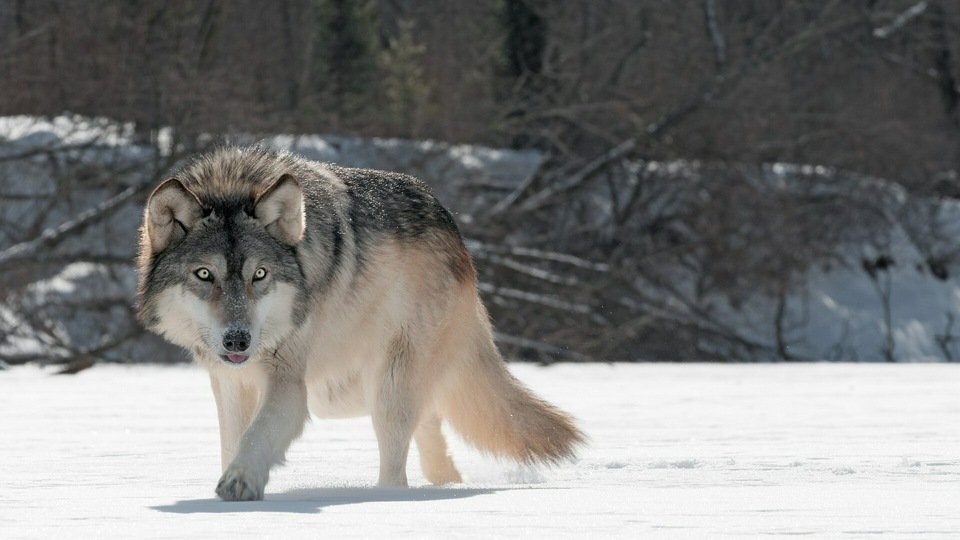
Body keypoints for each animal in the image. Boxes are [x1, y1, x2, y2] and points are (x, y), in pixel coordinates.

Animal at [135, 146, 584, 500]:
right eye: (204, 275)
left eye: (259, 275)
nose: (238, 341)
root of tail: (457, 235)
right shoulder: (229, 382)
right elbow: (233, 440)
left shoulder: (288, 383)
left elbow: (257, 435)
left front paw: (240, 482)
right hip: (349, 391)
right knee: (432, 433)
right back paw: (445, 485)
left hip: (384, 387)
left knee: (397, 467)